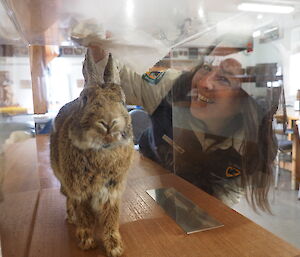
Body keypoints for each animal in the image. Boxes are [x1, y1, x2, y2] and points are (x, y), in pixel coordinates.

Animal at [50, 50, 134, 256]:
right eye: (85, 99)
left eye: (122, 101)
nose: (109, 123)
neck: (102, 151)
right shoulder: (78, 192)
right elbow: (84, 216)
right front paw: (87, 243)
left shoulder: (112, 192)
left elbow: (111, 219)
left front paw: (115, 248)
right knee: (69, 202)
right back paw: (71, 219)